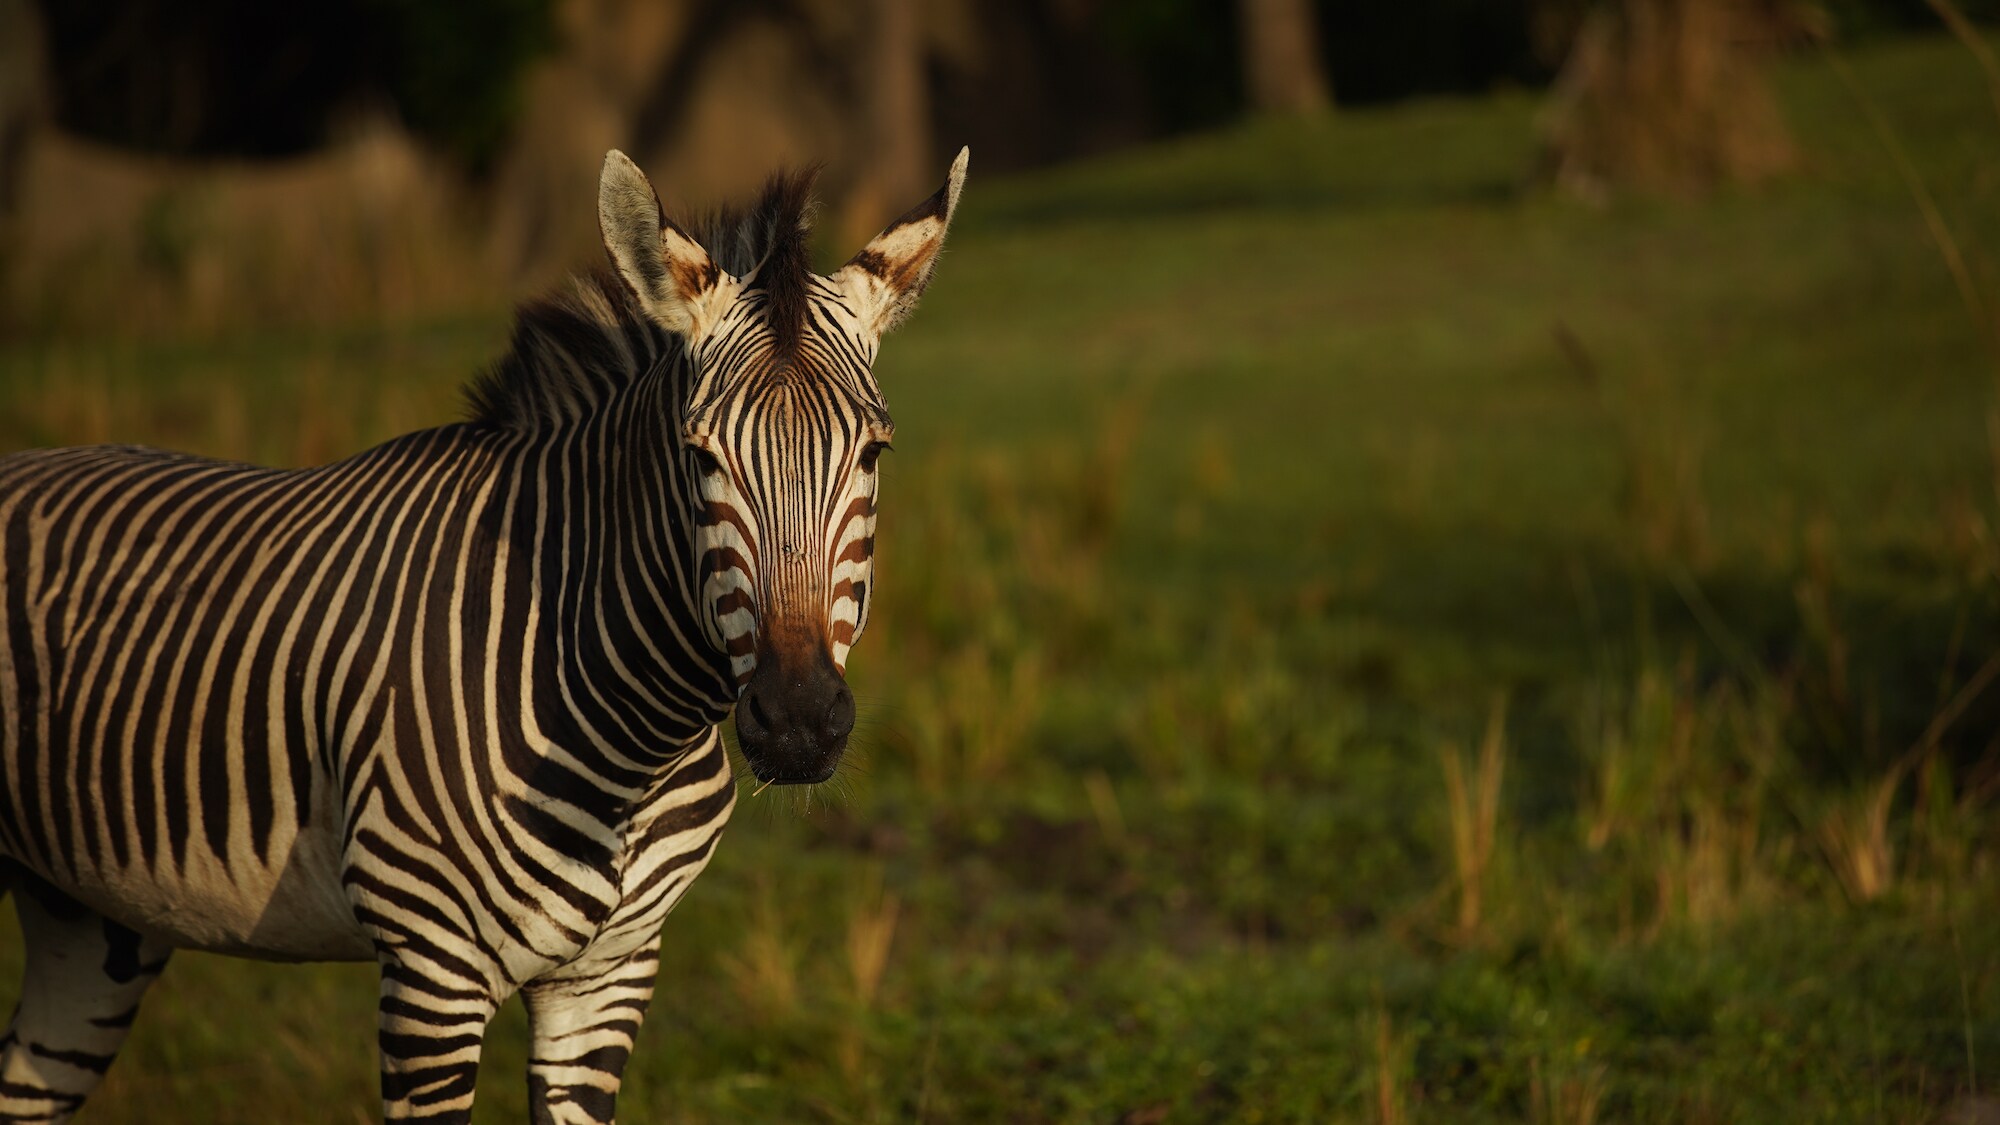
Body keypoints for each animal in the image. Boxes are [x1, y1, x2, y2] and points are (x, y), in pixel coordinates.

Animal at [0, 144, 968, 1112]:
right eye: (699, 458)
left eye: (874, 453)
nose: (799, 722)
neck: (636, 739)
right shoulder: (431, 971)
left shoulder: (608, 978)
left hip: (89, 921)